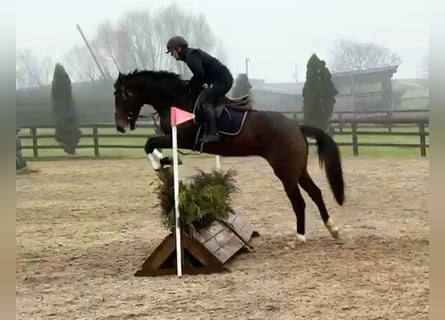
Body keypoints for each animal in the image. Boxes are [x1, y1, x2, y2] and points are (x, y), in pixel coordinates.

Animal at [112, 69, 346, 244]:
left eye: (122, 95)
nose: (120, 126)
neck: (175, 99)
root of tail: (297, 127)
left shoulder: (180, 138)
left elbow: (149, 143)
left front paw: (162, 162)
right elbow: (150, 143)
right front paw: (164, 161)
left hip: (285, 172)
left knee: (299, 201)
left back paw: (300, 237)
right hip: (298, 169)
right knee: (316, 193)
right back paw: (333, 228)